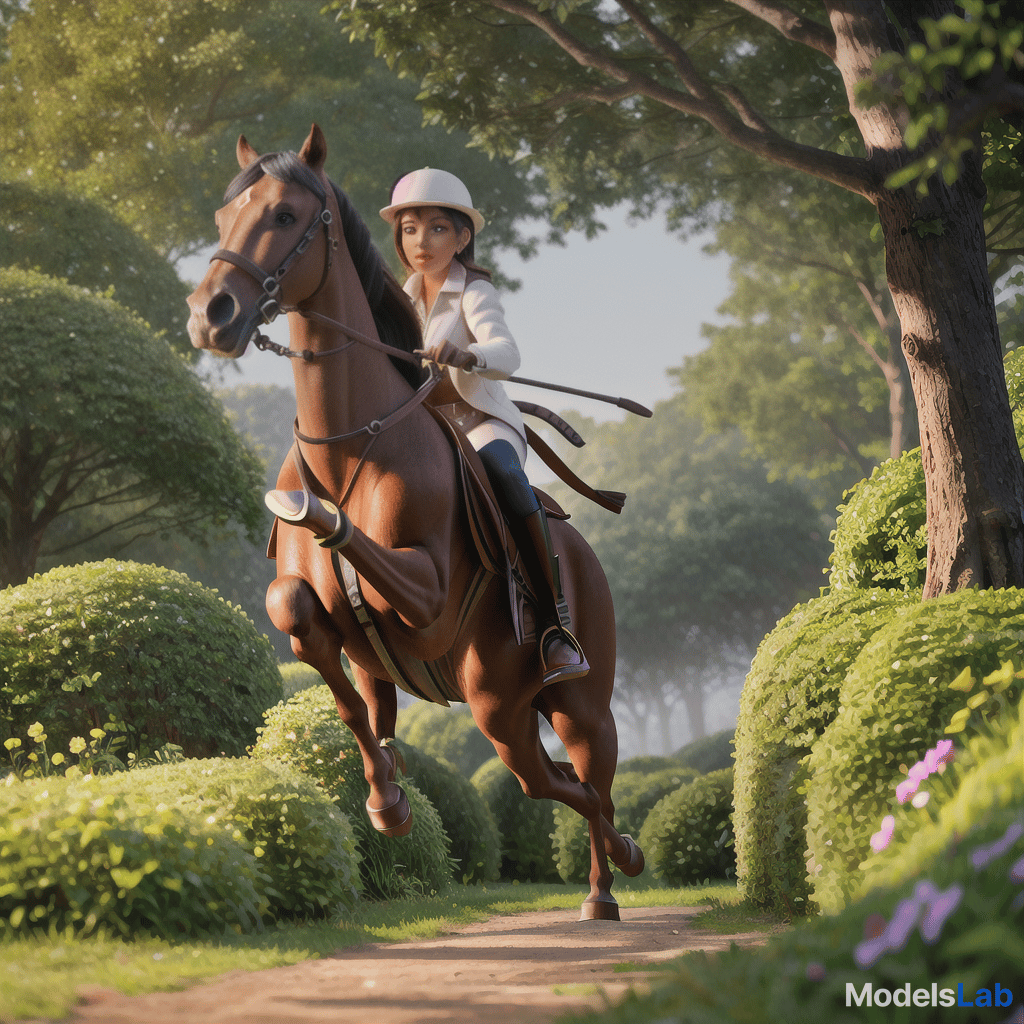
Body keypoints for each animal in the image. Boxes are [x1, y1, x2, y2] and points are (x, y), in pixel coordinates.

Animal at [186, 121, 638, 921]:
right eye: (222, 216)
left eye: (285, 215)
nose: (212, 314)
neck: (349, 445)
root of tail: (582, 549)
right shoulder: (325, 618)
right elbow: (306, 628)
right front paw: (387, 800)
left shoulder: (425, 591)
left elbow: (362, 549)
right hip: (508, 707)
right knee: (558, 783)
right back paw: (601, 881)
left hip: (559, 700)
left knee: (580, 780)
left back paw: (614, 873)